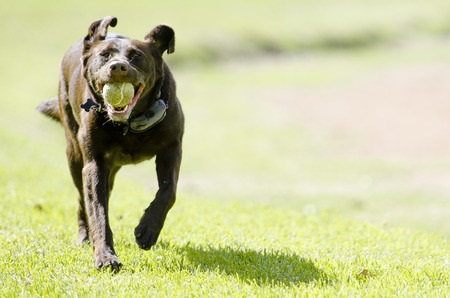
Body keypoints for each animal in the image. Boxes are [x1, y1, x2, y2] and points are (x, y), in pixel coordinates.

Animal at [37, 16, 184, 272]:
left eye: (136, 56)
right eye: (105, 55)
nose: (117, 67)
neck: (130, 123)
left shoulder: (172, 148)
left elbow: (168, 191)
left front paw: (147, 230)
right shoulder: (94, 164)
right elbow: (97, 211)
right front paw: (105, 256)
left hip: (111, 170)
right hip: (75, 156)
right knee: (82, 201)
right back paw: (84, 236)